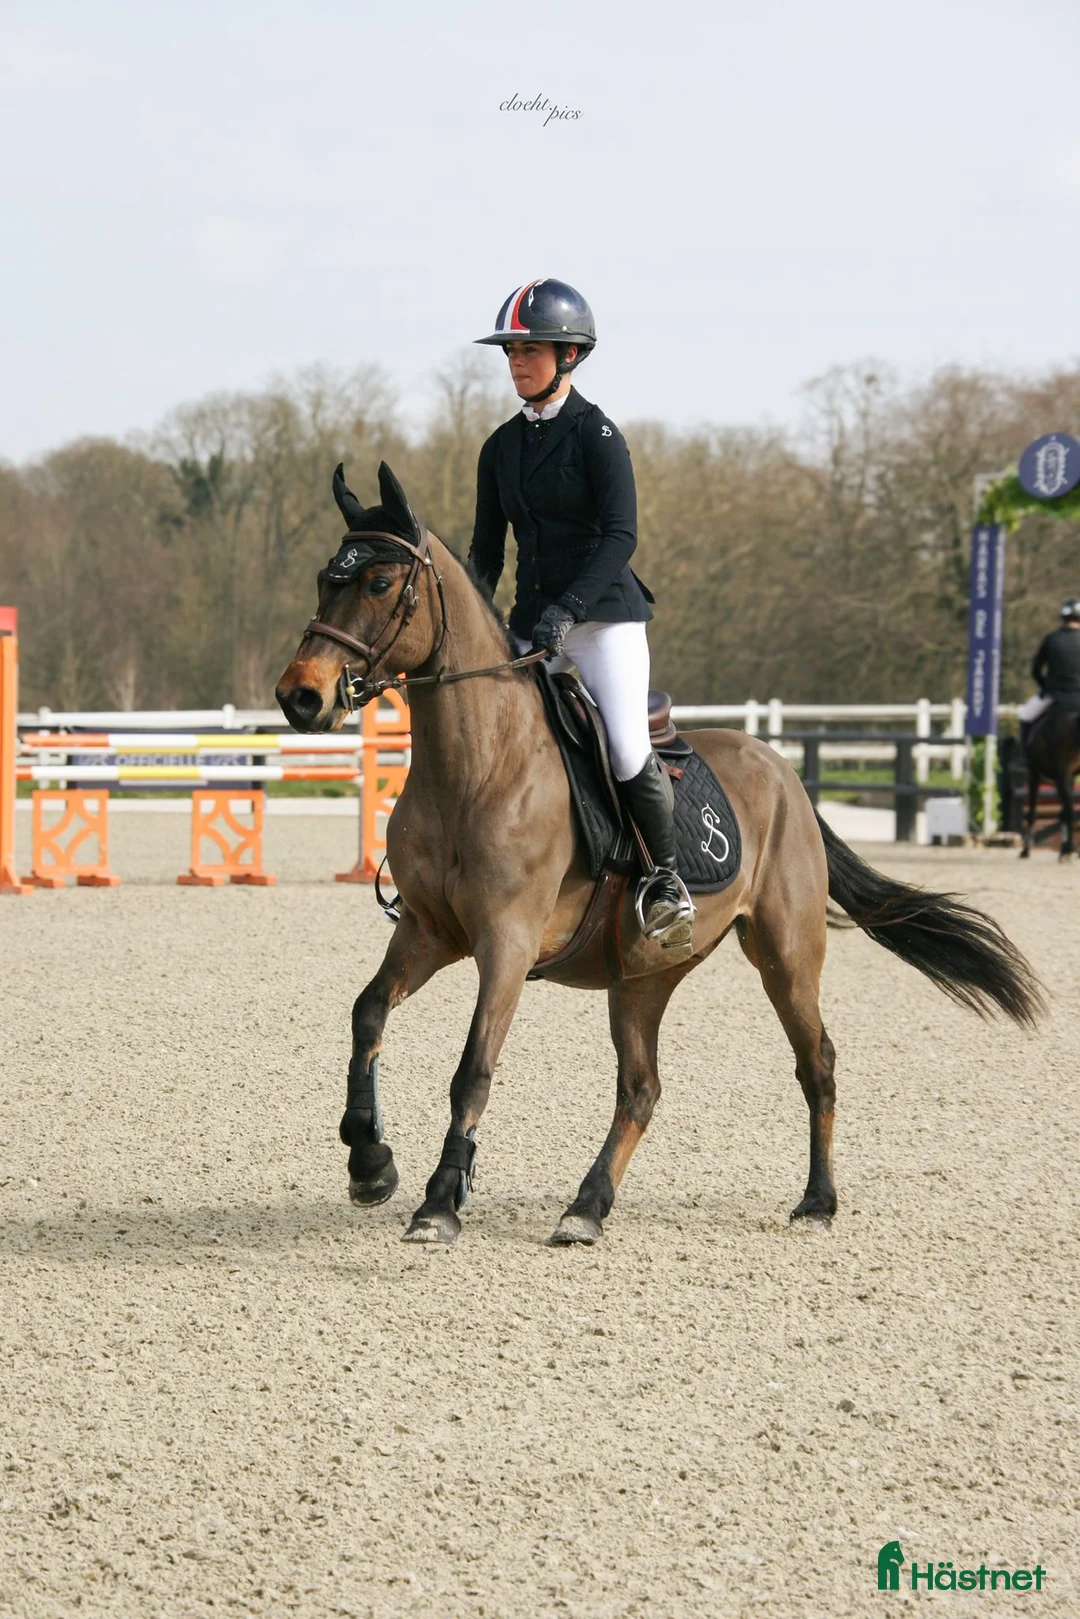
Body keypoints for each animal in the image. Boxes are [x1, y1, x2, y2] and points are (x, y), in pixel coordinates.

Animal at [276, 462, 1043, 1248]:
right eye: (324, 579)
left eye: (377, 583)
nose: (299, 697)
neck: (479, 763)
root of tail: (783, 769)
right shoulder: (429, 931)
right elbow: (367, 1014)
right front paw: (370, 1161)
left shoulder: (506, 944)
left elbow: (474, 1068)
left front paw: (438, 1201)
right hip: (643, 975)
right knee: (640, 1088)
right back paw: (586, 1207)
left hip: (785, 953)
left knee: (816, 1063)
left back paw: (818, 1199)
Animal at [1019, 703, 1080, 860]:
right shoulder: (1068, 778)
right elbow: (1062, 812)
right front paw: (1065, 848)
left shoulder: (1034, 774)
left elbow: (1032, 811)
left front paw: (1025, 850)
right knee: (1068, 810)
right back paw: (1068, 851)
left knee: (1069, 809)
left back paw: (1069, 851)